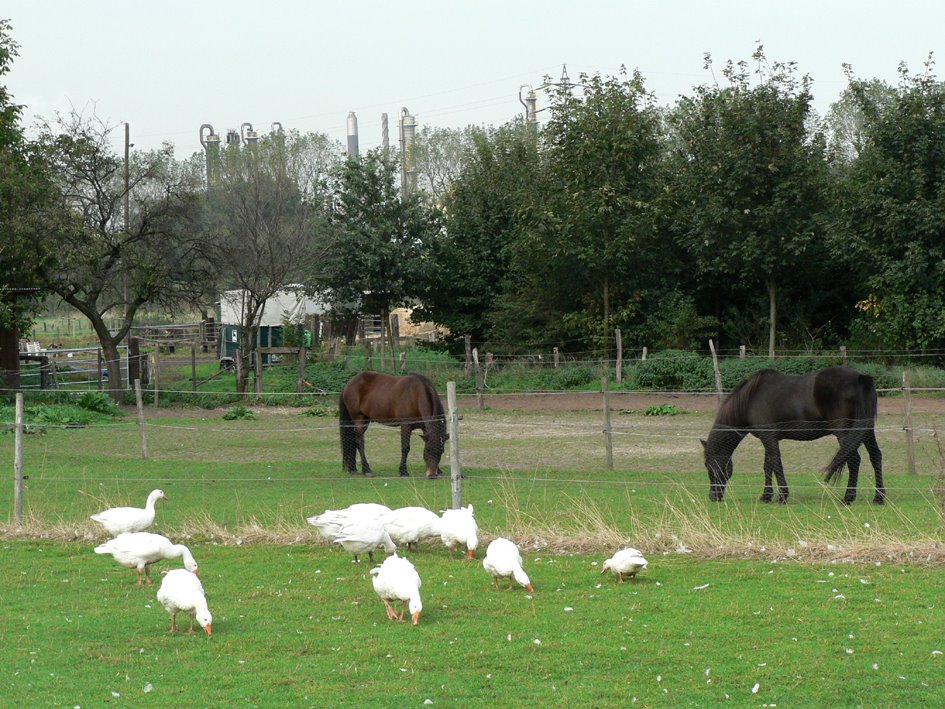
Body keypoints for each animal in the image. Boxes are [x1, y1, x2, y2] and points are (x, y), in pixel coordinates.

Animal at [700, 366, 884, 504]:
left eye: (710, 466)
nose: (713, 496)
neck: (750, 399)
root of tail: (860, 377)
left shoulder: (769, 438)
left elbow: (776, 464)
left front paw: (782, 497)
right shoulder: (768, 438)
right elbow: (768, 466)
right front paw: (766, 496)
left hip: (844, 432)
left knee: (854, 460)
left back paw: (848, 498)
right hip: (865, 431)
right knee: (875, 456)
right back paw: (879, 497)